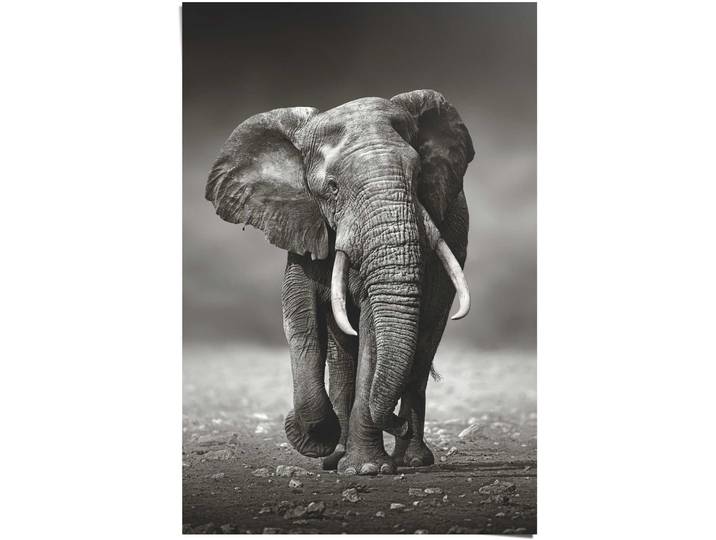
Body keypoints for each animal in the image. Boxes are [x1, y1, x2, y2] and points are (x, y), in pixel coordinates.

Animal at [205, 89, 474, 475]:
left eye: (419, 175)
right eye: (332, 188)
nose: (397, 423)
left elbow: (373, 332)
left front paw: (369, 469)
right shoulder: (302, 224)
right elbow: (300, 319)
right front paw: (316, 438)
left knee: (422, 349)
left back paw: (411, 459)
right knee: (343, 355)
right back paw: (337, 457)